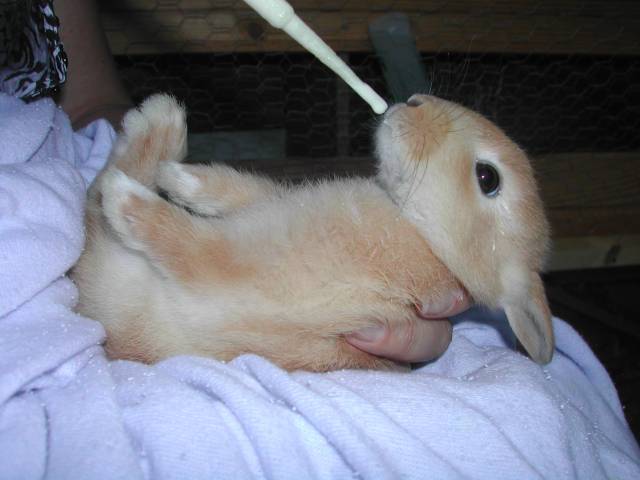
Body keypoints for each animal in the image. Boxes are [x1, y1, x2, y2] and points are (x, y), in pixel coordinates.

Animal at [69, 94, 552, 372]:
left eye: (487, 178)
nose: (413, 101)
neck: (423, 238)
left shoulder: (255, 264)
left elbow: (194, 249)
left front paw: (133, 202)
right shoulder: (272, 209)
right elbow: (238, 188)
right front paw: (182, 179)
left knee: (97, 202)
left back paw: (153, 128)